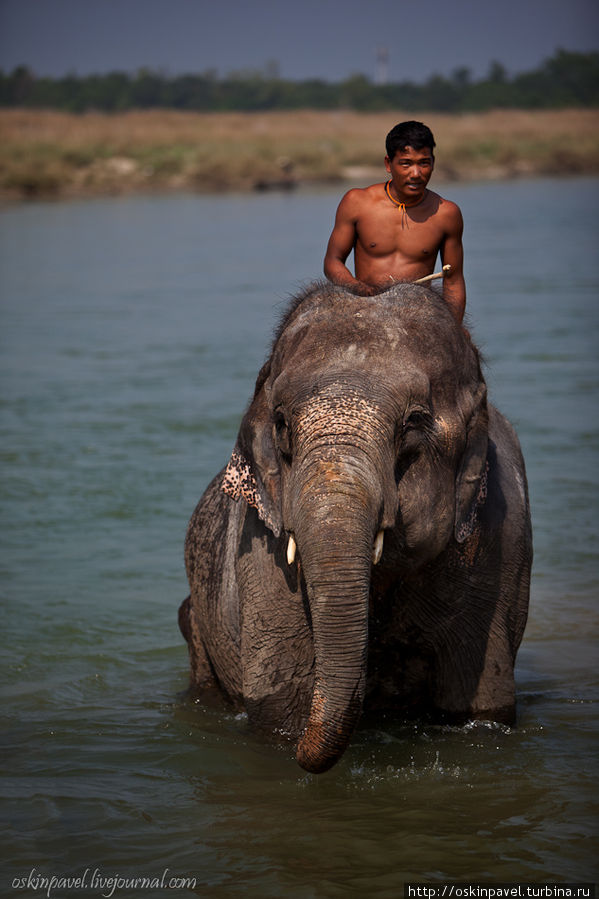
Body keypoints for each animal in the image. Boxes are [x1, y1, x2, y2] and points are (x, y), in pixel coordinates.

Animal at [179, 282, 536, 772]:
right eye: (281, 424)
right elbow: (281, 700)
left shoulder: (495, 544)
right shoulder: (260, 559)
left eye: (414, 421)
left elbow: (481, 700)